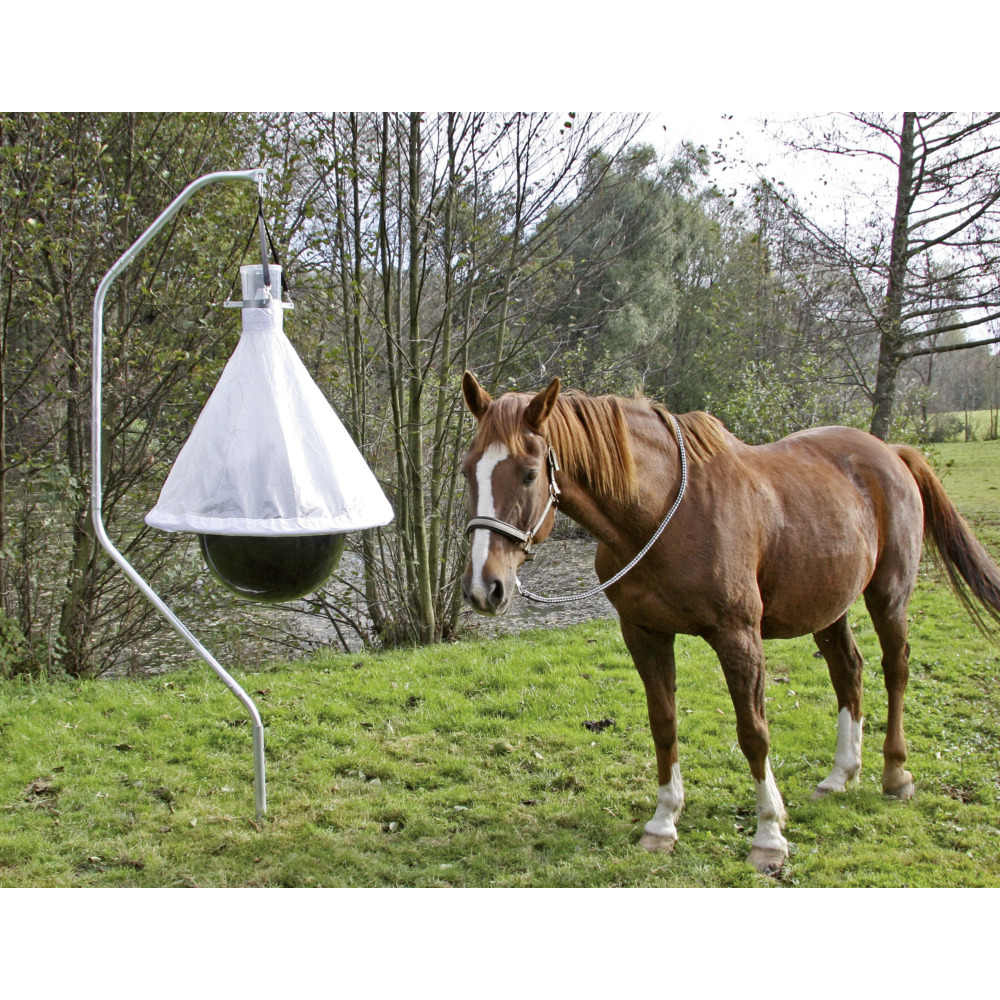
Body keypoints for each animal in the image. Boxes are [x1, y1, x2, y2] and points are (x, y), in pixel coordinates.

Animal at [459, 370, 1000, 873]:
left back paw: (896, 775)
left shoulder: (738, 636)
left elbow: (753, 732)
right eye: (467, 471)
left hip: (889, 595)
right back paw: (840, 775)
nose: (486, 587)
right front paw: (663, 822)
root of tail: (890, 452)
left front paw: (769, 836)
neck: (661, 516)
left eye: (529, 474)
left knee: (896, 669)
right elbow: (664, 724)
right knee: (849, 671)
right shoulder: (644, 634)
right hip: (827, 607)